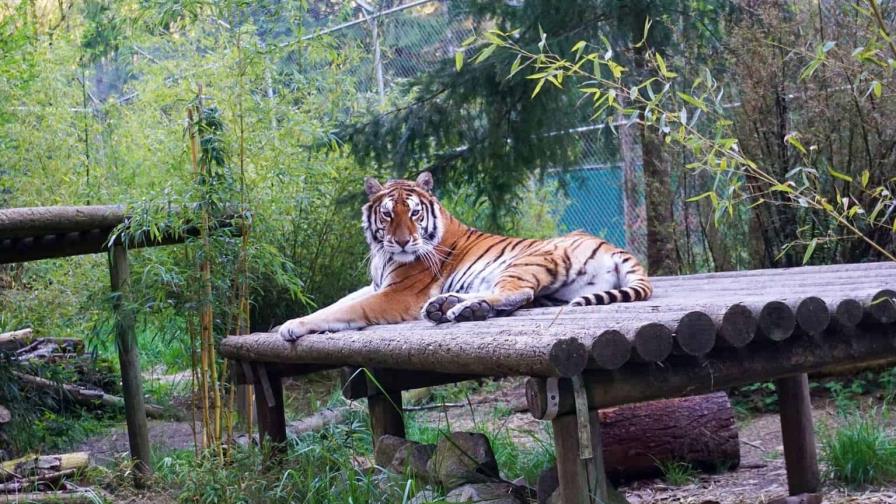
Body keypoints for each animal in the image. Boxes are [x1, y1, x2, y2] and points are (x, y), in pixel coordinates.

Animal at [276, 170, 648, 342]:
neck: (383, 255)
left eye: (414, 214)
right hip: (555, 290)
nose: (402, 242)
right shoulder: (377, 284)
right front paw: (284, 322)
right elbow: (337, 302)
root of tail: (613, 247)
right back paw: (453, 305)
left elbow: (345, 310)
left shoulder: (396, 294)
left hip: (525, 261)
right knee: (519, 298)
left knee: (517, 292)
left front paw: (292, 326)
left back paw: (457, 308)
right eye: (387, 214)